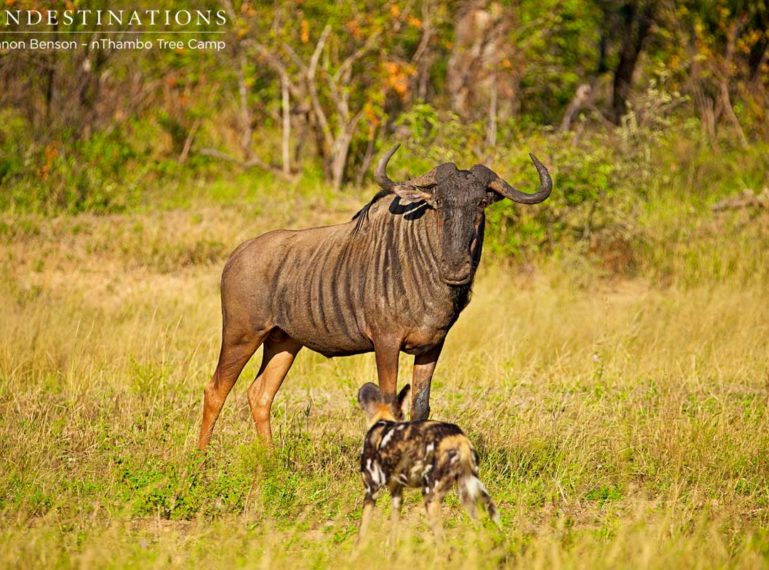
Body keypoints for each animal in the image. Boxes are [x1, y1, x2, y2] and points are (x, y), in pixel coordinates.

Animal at [356, 380, 500, 540]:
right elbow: (393, 530)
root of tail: (459, 440)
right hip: (468, 495)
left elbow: (362, 532)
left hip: (431, 497)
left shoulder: (371, 490)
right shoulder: (397, 493)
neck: (382, 421)